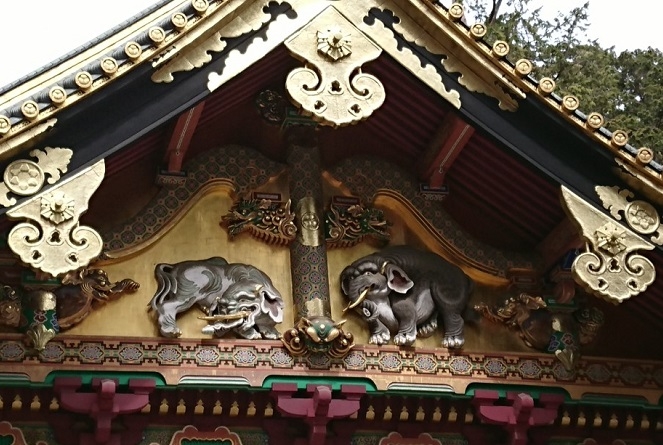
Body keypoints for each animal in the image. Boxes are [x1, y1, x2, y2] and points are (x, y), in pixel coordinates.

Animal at [340, 246, 474, 346]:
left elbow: (403, 309)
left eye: (368, 273)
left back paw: (452, 341)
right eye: (350, 278)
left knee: (450, 310)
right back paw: (426, 328)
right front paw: (379, 338)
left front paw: (403, 339)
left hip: (450, 289)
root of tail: (467, 278)